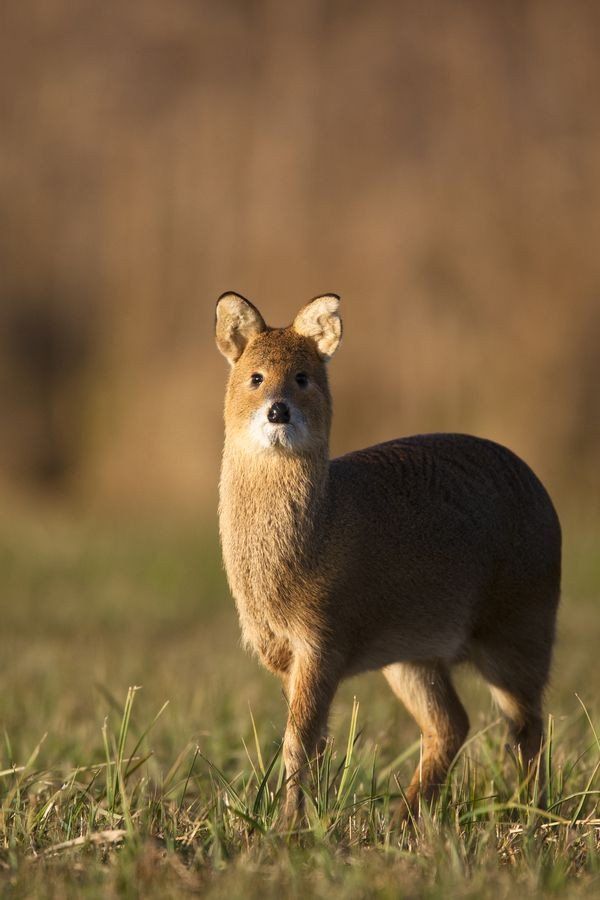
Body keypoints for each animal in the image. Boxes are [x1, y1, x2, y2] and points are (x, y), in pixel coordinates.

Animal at [214, 294, 564, 824]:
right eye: (255, 376)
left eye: (303, 377)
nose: (278, 410)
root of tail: (543, 496)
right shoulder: (284, 654)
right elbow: (311, 742)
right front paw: (303, 819)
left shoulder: (324, 638)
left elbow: (299, 742)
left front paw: (286, 826)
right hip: (414, 654)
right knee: (452, 724)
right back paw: (406, 816)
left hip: (521, 625)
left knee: (528, 726)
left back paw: (530, 812)